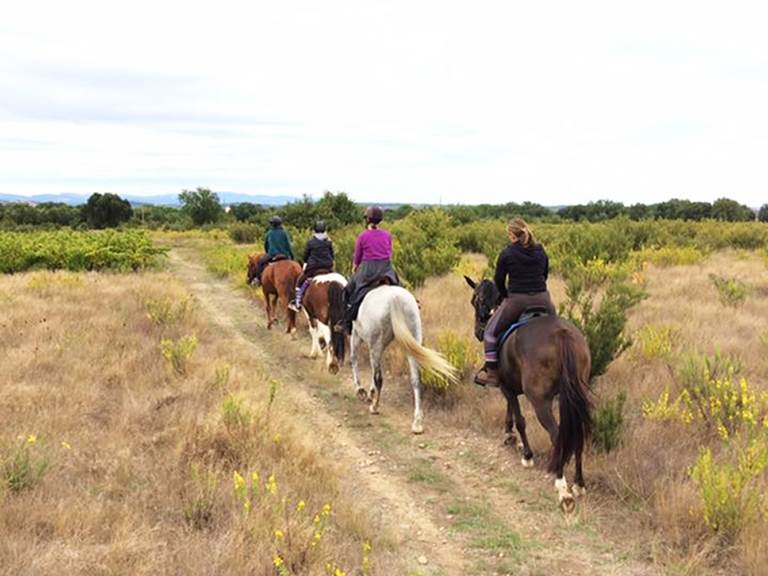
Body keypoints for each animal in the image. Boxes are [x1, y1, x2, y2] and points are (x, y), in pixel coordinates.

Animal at [328, 284, 460, 432]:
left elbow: (355, 360)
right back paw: (417, 422)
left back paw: (375, 407)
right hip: (411, 341)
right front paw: (370, 393)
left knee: (379, 378)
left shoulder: (356, 336)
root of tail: (395, 299)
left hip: (375, 344)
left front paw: (361, 391)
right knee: (416, 379)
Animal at [462, 276, 592, 510]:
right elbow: (511, 411)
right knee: (577, 434)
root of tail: (562, 334)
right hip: (576, 396)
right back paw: (578, 484)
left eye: (475, 301)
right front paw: (509, 434)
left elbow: (520, 419)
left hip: (540, 401)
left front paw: (527, 455)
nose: (478, 332)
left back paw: (562, 488)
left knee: (557, 435)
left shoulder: (506, 387)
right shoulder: (510, 385)